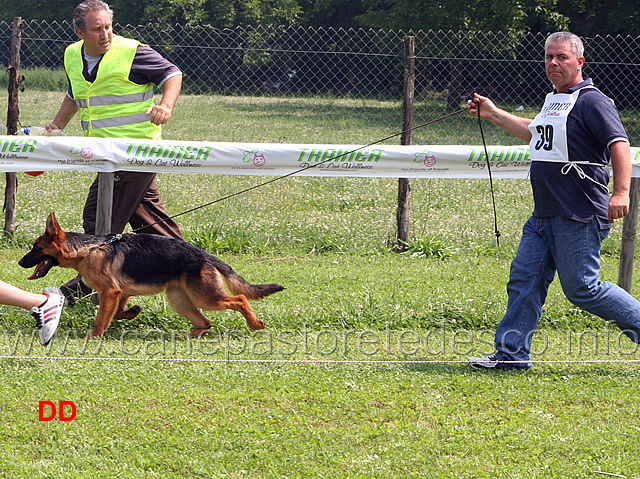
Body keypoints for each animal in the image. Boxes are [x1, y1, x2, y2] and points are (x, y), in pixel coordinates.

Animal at [18, 212, 284, 340]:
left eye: (35, 248)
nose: (20, 262)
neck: (89, 249)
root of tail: (205, 255)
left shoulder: (110, 292)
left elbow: (101, 318)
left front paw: (93, 337)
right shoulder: (120, 293)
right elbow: (117, 313)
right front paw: (132, 312)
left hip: (206, 298)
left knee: (239, 299)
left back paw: (255, 323)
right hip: (180, 301)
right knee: (205, 321)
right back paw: (191, 334)